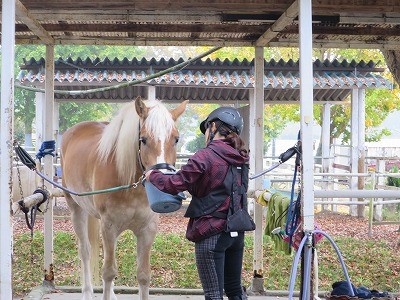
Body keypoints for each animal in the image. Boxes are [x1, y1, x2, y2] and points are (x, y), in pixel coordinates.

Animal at [61, 97, 189, 298]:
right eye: (143, 140)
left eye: (176, 139)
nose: (162, 181)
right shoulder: (109, 226)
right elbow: (108, 272)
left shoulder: (147, 229)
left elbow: (143, 275)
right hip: (76, 209)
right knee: (85, 251)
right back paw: (87, 293)